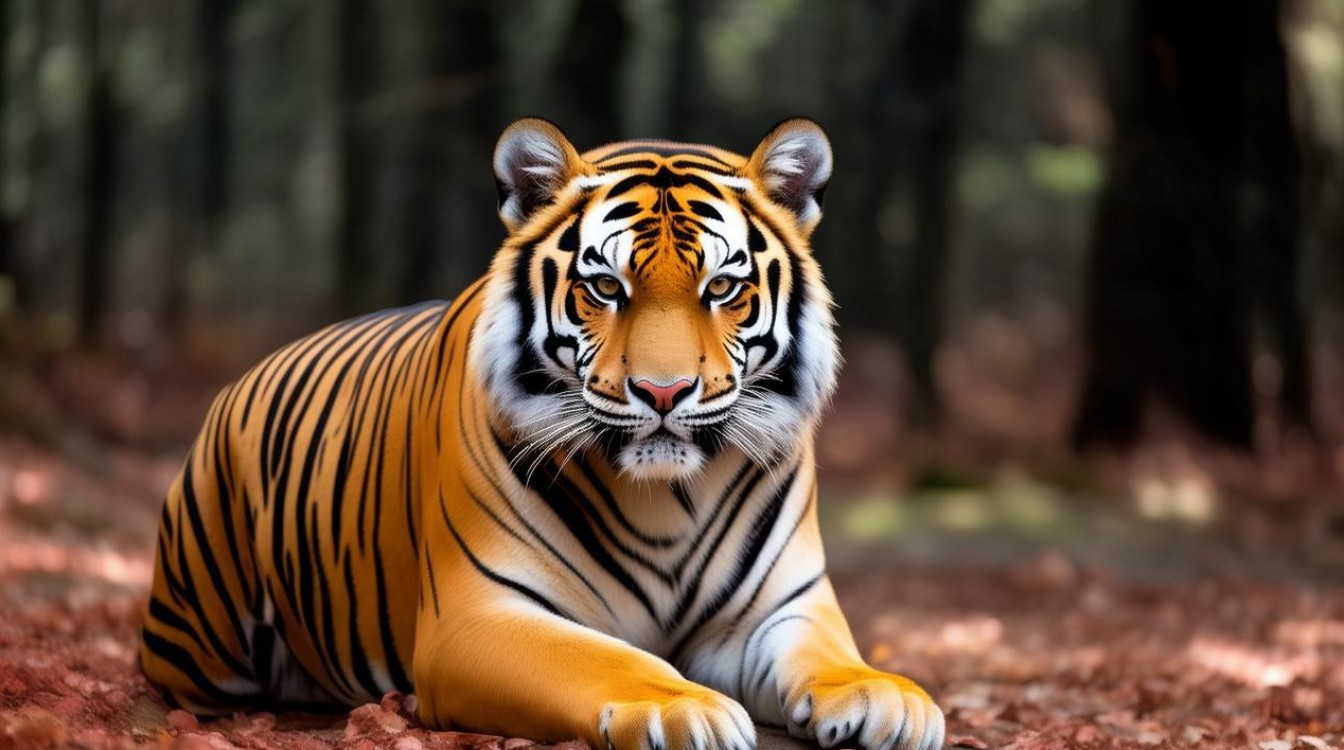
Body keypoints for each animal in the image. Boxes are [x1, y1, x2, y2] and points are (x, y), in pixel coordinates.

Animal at [139, 117, 945, 750]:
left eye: (721, 287)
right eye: (605, 287)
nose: (663, 393)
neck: (668, 497)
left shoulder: (782, 607)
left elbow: (832, 658)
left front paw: (886, 697)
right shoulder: (479, 616)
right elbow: (607, 659)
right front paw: (685, 708)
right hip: (203, 636)